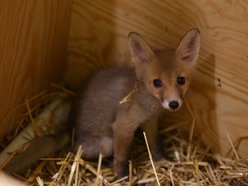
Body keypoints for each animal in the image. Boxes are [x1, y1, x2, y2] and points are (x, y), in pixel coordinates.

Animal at [3, 28, 200, 177]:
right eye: (157, 83)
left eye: (181, 80)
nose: (173, 104)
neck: (147, 102)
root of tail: (69, 128)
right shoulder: (122, 126)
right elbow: (121, 156)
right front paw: (122, 176)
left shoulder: (150, 121)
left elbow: (155, 144)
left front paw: (162, 161)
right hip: (106, 143)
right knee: (75, 151)